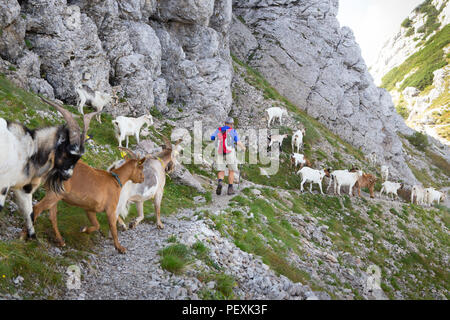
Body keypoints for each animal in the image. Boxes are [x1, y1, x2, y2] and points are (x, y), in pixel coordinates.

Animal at [0, 97, 96, 240]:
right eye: (67, 152)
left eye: (78, 157)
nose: (68, 175)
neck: (31, 149)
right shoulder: (3, 183)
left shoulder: (23, 188)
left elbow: (29, 213)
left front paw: (32, 238)